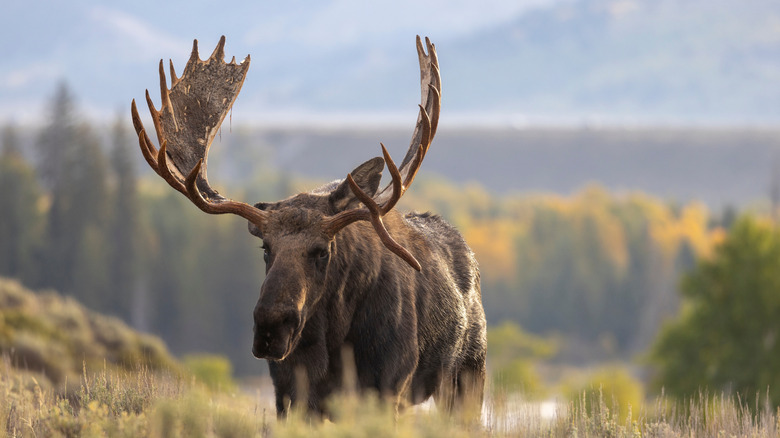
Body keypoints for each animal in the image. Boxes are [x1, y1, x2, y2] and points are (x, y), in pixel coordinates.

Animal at [131, 35, 486, 418]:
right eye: (265, 247)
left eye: (322, 251)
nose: (270, 328)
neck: (334, 344)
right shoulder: (289, 395)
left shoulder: (389, 387)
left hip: (468, 372)